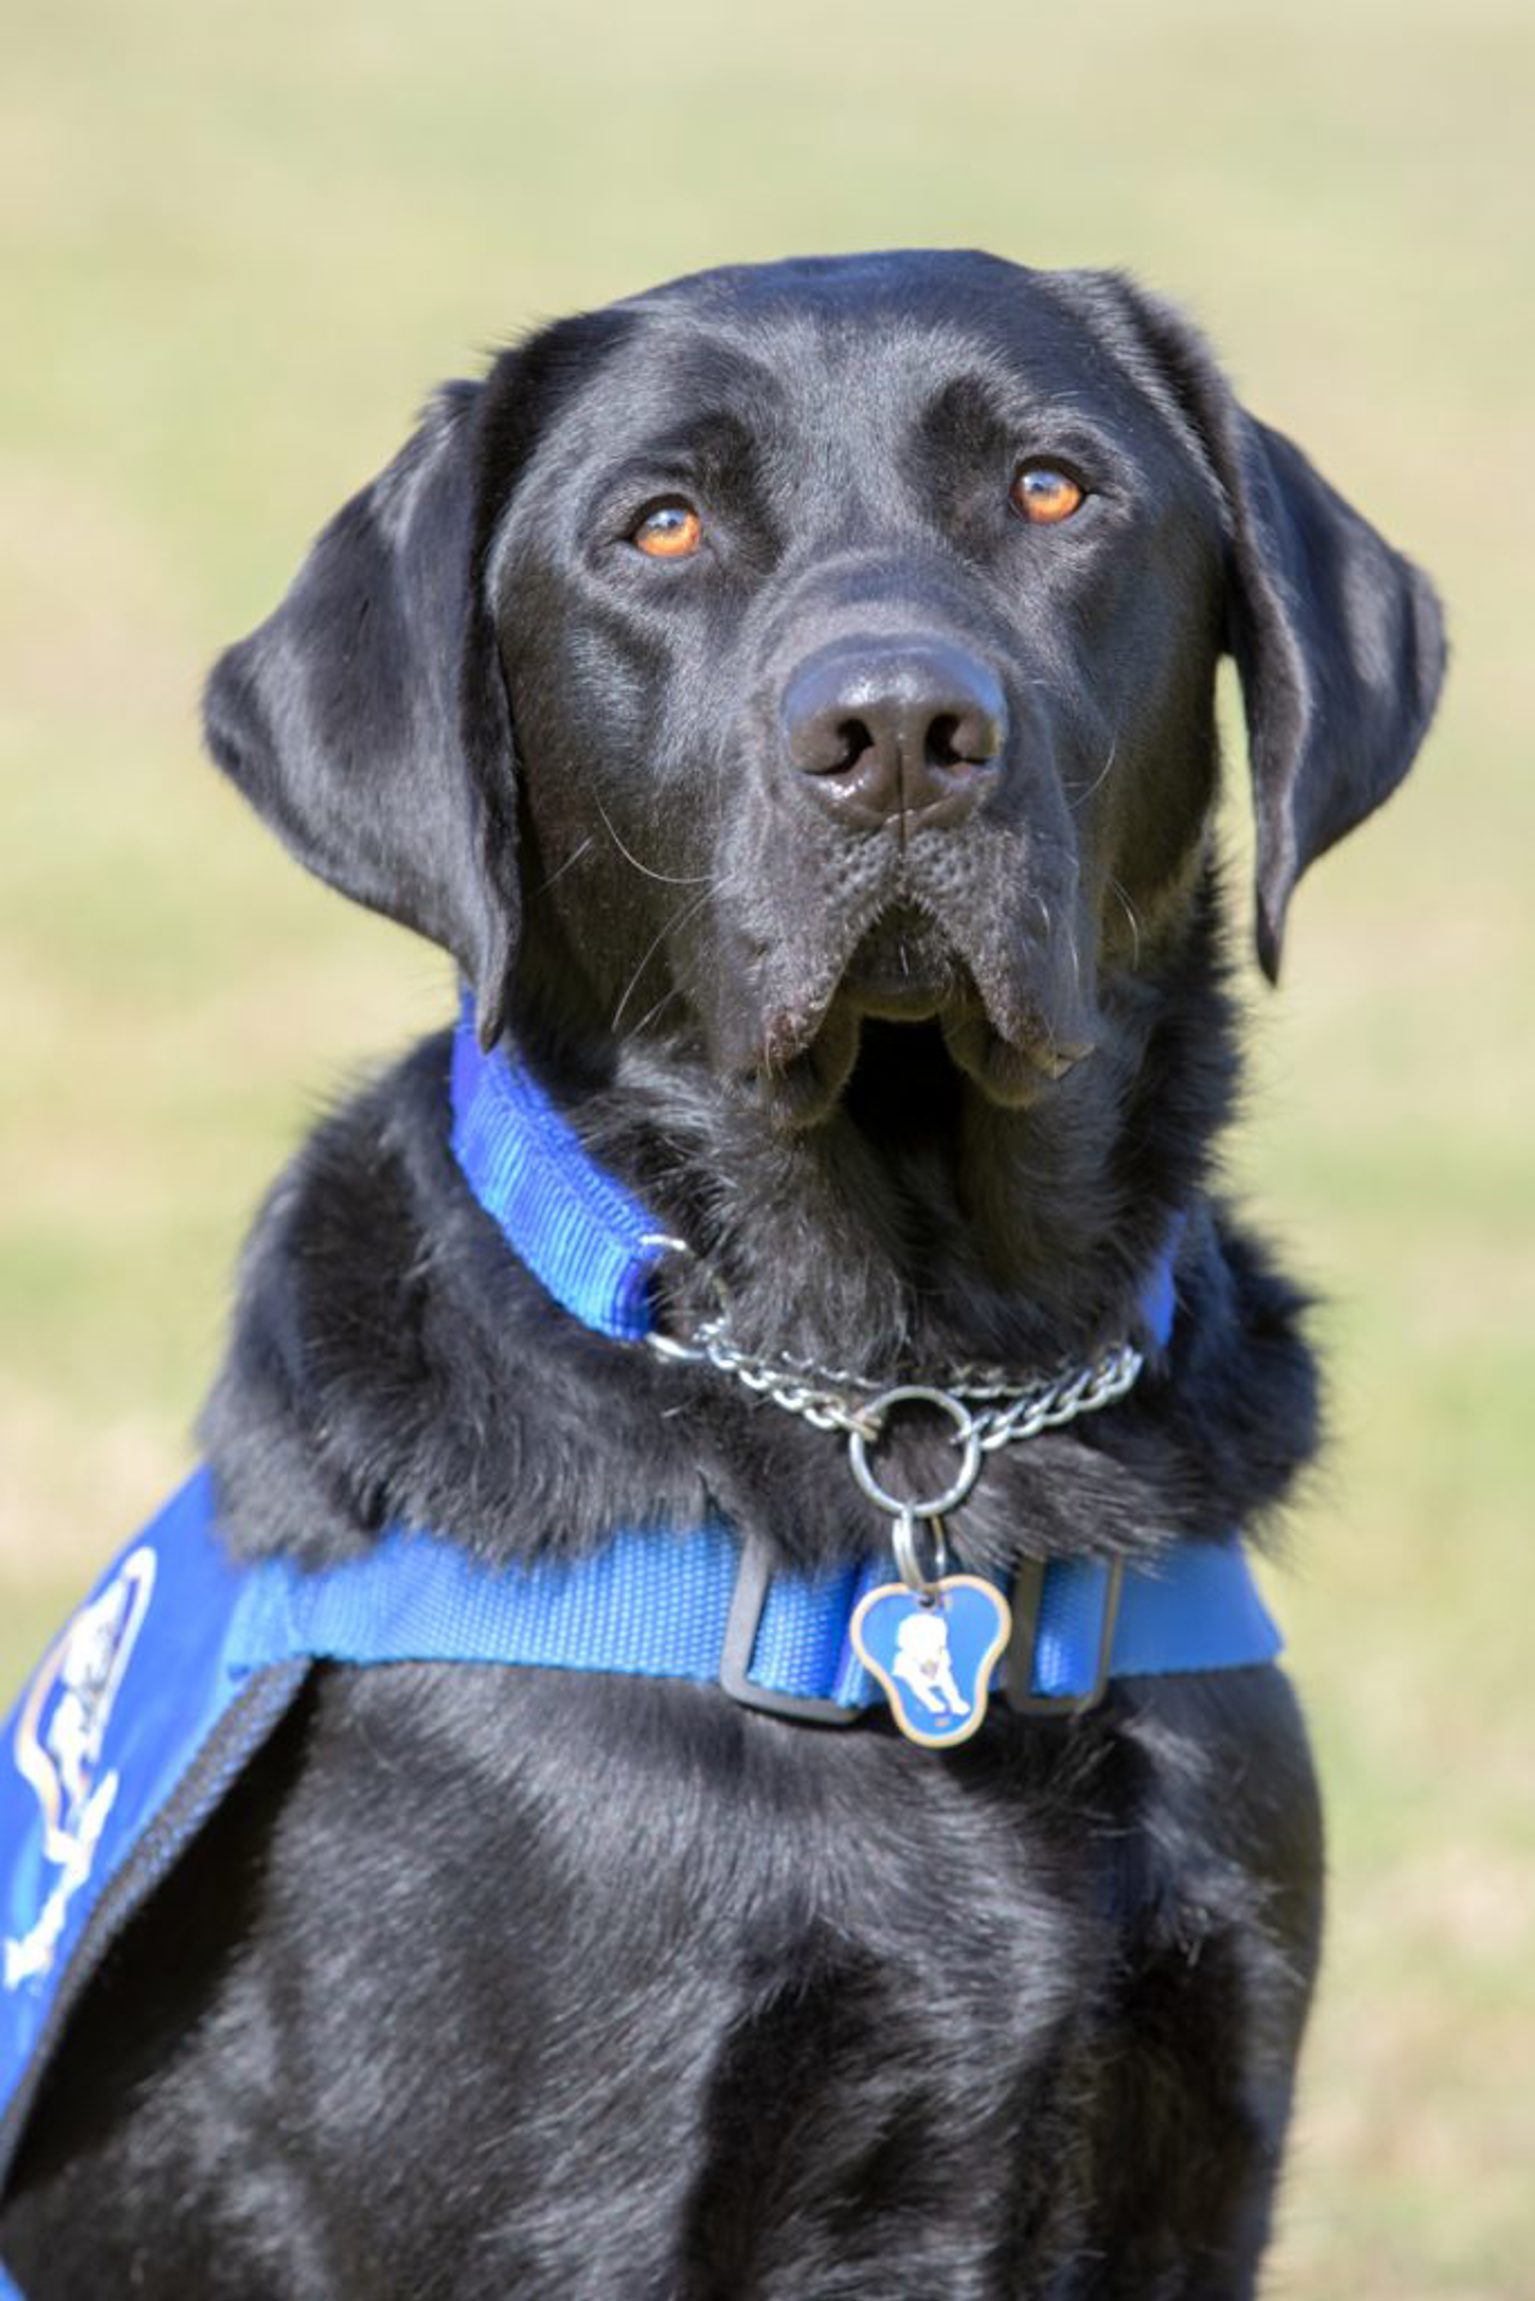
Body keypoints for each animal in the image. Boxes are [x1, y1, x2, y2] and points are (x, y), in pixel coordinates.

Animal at [0, 256, 1445, 2301]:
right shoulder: (572, 2198)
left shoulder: (1201, 2141)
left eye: (1054, 488)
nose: (900, 730)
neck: (908, 1399)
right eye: (660, 527)